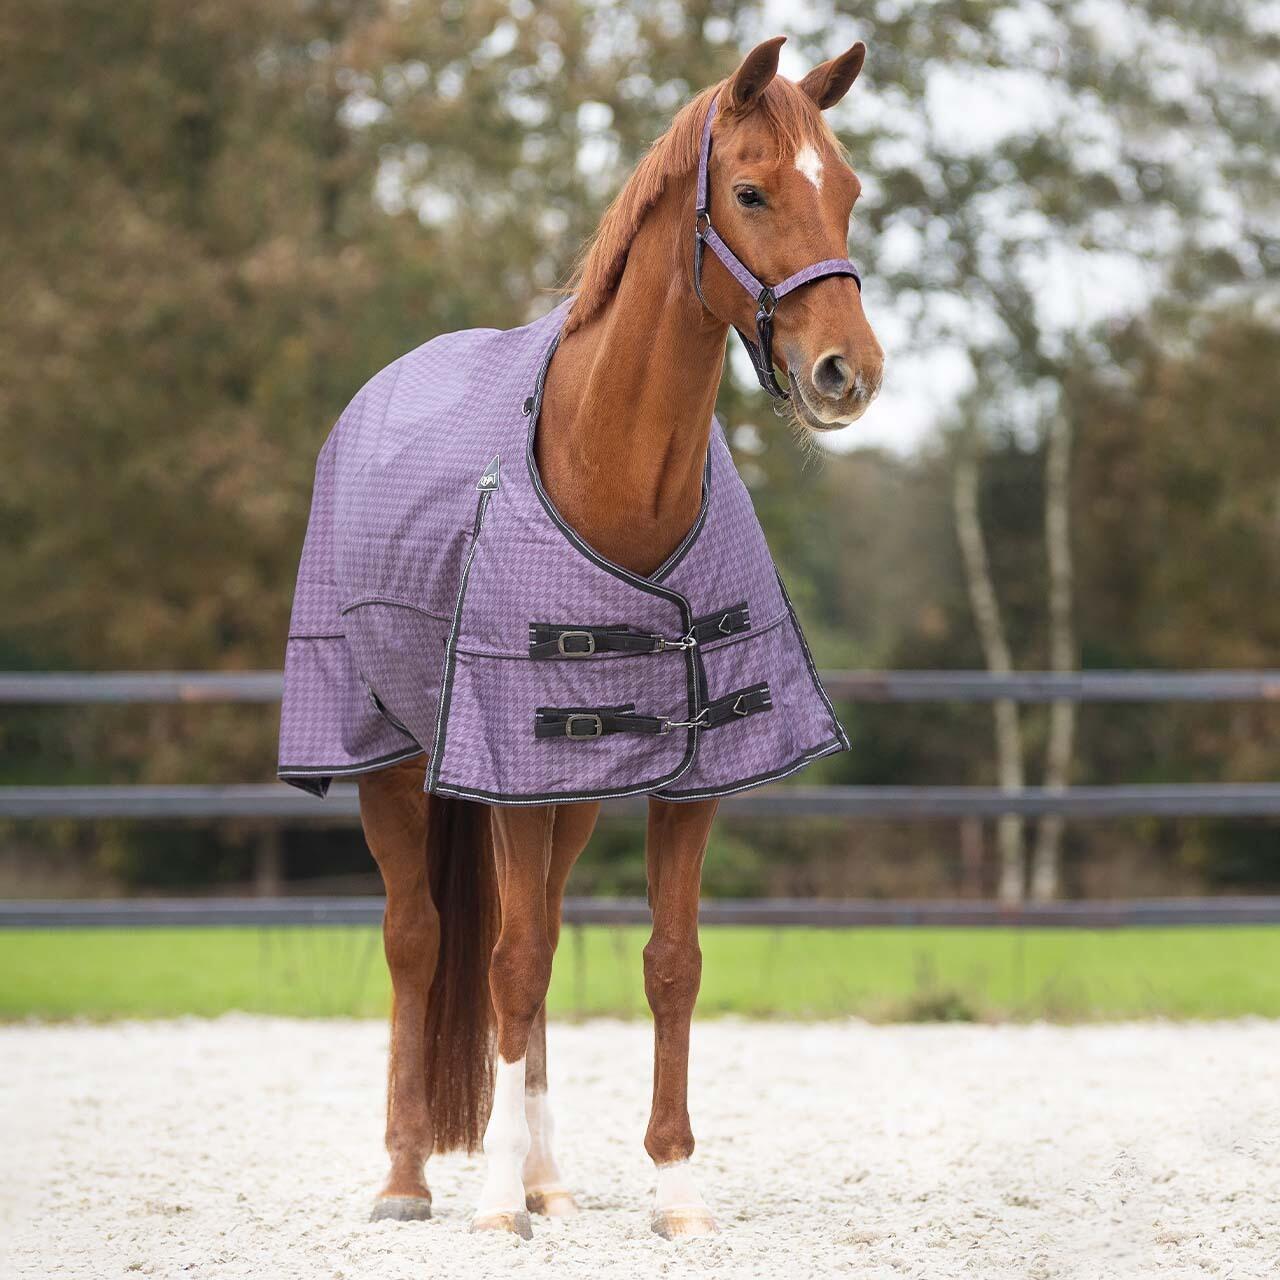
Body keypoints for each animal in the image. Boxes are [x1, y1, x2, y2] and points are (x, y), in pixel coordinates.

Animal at [347, 36, 882, 1238]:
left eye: (848, 192)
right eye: (750, 192)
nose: (848, 373)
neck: (612, 479)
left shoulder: (689, 770)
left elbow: (666, 962)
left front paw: (673, 1186)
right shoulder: (502, 763)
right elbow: (503, 962)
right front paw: (495, 1200)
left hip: (573, 791)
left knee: (535, 940)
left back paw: (549, 1174)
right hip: (390, 763)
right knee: (421, 938)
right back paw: (407, 1178)